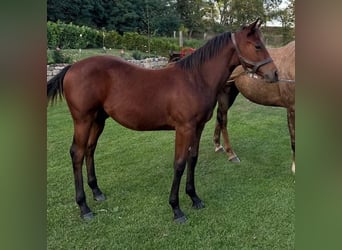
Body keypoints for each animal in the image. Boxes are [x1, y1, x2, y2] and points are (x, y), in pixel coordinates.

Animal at [47, 19, 278, 223]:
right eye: (257, 46)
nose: (274, 74)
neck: (195, 79)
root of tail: (71, 68)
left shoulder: (198, 127)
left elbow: (192, 159)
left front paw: (194, 198)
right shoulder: (184, 129)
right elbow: (179, 163)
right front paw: (176, 209)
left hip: (98, 120)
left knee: (90, 149)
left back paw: (97, 191)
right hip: (83, 120)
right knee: (77, 153)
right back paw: (84, 207)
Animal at [212, 41, 296, 173]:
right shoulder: (292, 109)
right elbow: (294, 139)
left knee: (219, 116)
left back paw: (218, 145)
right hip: (225, 92)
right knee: (223, 119)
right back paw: (231, 154)